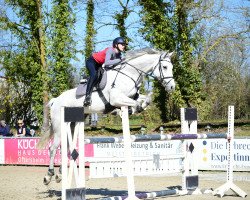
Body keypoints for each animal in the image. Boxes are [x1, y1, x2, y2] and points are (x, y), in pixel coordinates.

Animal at [38, 48, 176, 184]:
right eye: (164, 67)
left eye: (171, 67)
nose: (172, 87)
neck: (129, 74)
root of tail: (55, 100)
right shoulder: (116, 98)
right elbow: (136, 104)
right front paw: (124, 111)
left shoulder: (132, 97)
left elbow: (145, 100)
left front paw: (137, 107)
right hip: (59, 128)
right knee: (53, 148)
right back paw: (49, 175)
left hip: (71, 126)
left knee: (67, 147)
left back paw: (60, 173)